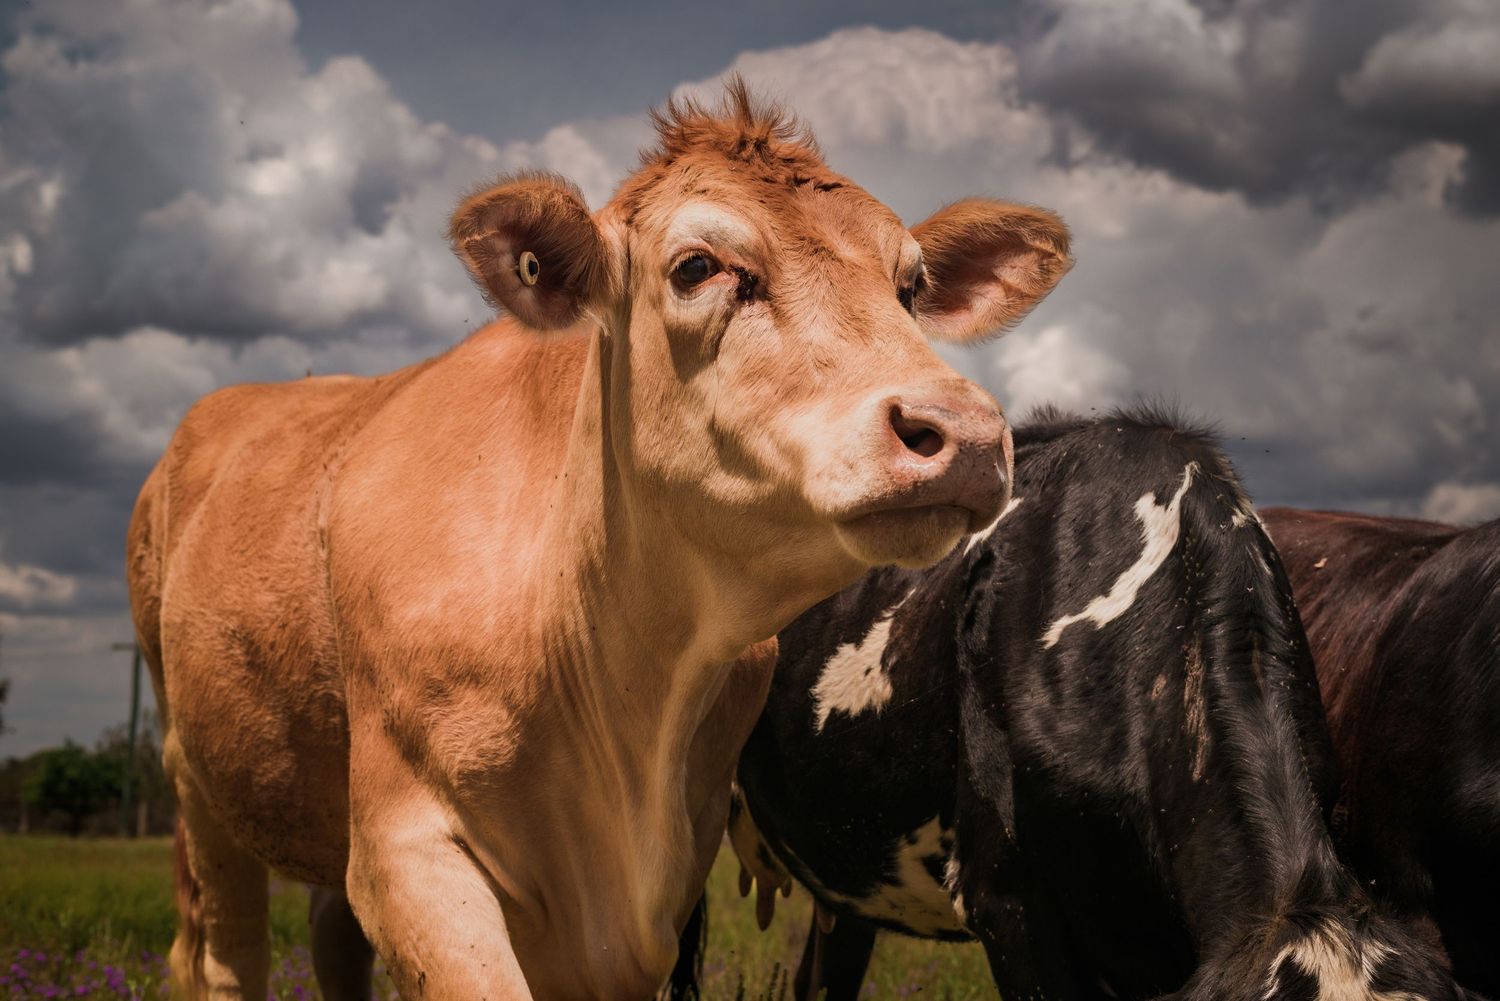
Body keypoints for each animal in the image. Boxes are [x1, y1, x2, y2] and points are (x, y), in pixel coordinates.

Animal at [124, 82, 1073, 1001]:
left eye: (910, 287)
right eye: (697, 267)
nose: (964, 432)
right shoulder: (406, 853)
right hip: (195, 777)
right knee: (228, 955)